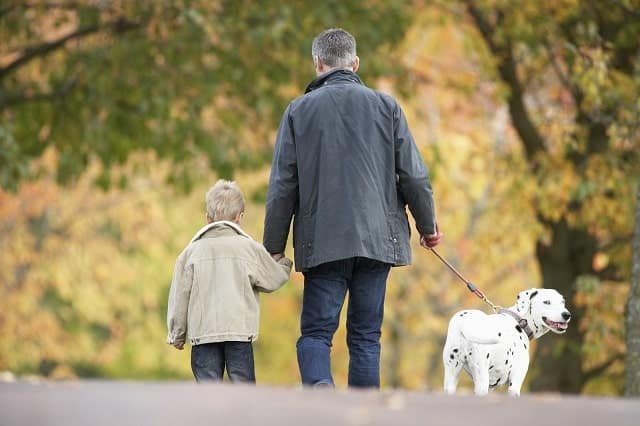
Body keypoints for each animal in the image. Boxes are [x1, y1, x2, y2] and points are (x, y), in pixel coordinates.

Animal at [442, 288, 572, 398]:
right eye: (547, 302)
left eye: (562, 302)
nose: (567, 315)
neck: (520, 322)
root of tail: (463, 321)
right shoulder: (515, 384)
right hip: (481, 382)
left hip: (451, 379)